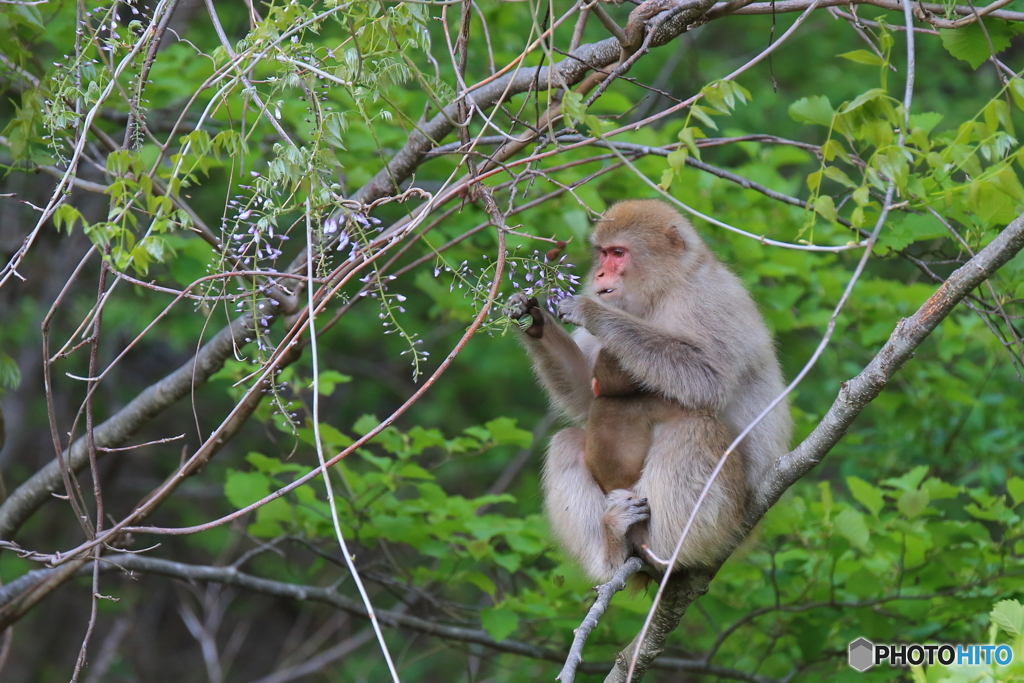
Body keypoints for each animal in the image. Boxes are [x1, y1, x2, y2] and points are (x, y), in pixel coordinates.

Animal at [505, 197, 790, 581]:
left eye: (618, 253)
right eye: (603, 254)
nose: (599, 275)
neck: (666, 288)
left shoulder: (709, 300)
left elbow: (708, 381)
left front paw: (591, 312)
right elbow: (589, 396)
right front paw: (534, 319)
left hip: (726, 522)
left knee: (694, 427)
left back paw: (664, 551)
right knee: (567, 442)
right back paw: (612, 551)